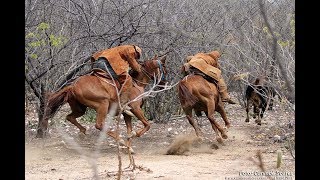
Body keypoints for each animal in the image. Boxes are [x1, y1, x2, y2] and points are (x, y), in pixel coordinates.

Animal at [38, 54, 168, 149]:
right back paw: (119, 140)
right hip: (103, 105)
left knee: (70, 117)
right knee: (99, 125)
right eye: (164, 68)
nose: (164, 83)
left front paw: (129, 147)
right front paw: (134, 136)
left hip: (80, 109)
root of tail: (72, 86)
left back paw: (83, 131)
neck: (136, 83)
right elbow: (147, 125)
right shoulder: (136, 109)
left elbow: (129, 130)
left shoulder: (127, 114)